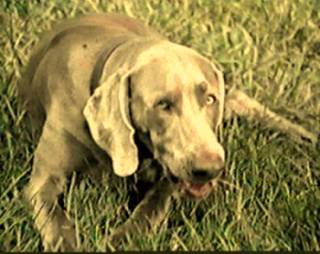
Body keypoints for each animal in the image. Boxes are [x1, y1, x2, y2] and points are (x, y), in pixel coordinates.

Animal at [18, 13, 318, 250]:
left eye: (210, 99)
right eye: (162, 104)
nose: (211, 169)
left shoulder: (169, 179)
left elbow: (150, 210)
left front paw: (120, 240)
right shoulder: (43, 182)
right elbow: (57, 222)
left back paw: (307, 138)